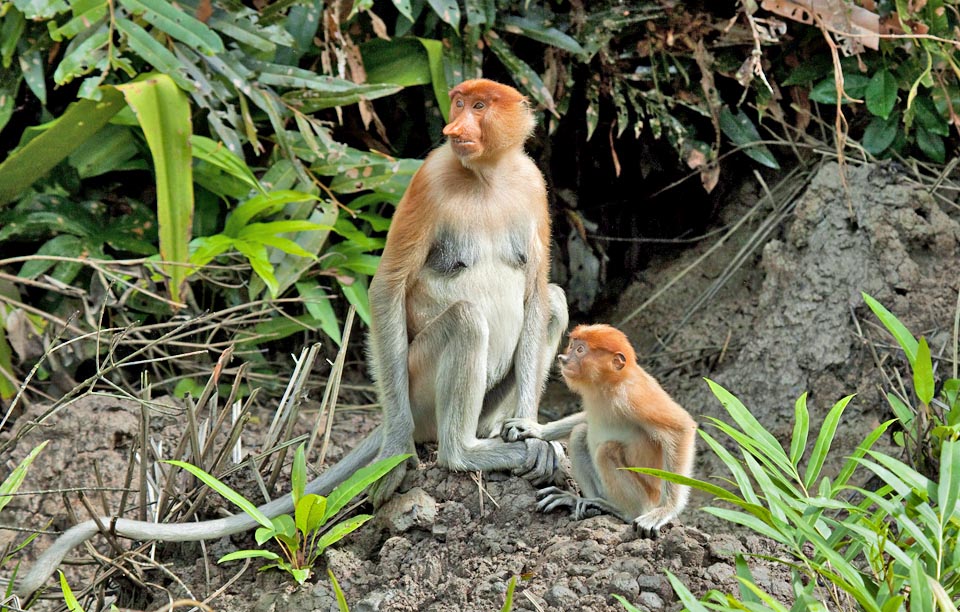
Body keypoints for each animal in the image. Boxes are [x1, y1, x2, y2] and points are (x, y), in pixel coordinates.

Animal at [15, 79, 568, 596]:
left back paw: (501, 434)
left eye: (480, 106)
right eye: (458, 102)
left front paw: (528, 428)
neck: (485, 178)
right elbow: (387, 287)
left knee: (556, 300)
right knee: (466, 321)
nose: (455, 128)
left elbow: (537, 290)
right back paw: (461, 452)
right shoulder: (429, 178)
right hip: (416, 384)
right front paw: (396, 454)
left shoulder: (531, 183)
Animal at [502, 322, 696, 536]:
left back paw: (621, 511)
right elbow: (586, 420)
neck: (609, 384)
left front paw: (666, 510)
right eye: (572, 346)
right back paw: (580, 501)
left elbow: (681, 428)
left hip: (644, 496)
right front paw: (536, 429)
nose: (563, 358)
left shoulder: (633, 395)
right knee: (579, 434)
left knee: (607, 450)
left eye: (580, 350)